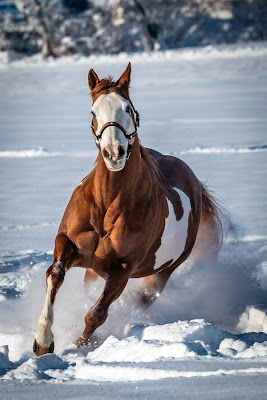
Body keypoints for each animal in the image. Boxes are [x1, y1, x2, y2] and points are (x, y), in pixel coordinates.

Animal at [33, 61, 222, 354]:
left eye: (128, 108)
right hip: (92, 270)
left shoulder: (123, 269)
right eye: (93, 111)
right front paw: (43, 340)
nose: (114, 153)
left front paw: (80, 346)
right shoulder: (68, 243)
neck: (106, 204)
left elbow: (96, 314)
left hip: (160, 274)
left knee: (138, 300)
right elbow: (55, 274)